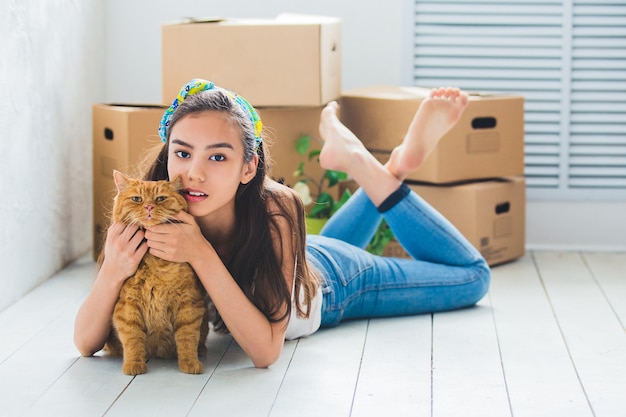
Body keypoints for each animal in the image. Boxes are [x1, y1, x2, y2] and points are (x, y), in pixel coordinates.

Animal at [103, 169, 208, 374]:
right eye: (137, 199)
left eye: (160, 198)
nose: (149, 206)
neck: (157, 264)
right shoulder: (128, 306)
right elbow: (133, 339)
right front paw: (134, 365)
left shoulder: (188, 303)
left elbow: (187, 337)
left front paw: (190, 363)